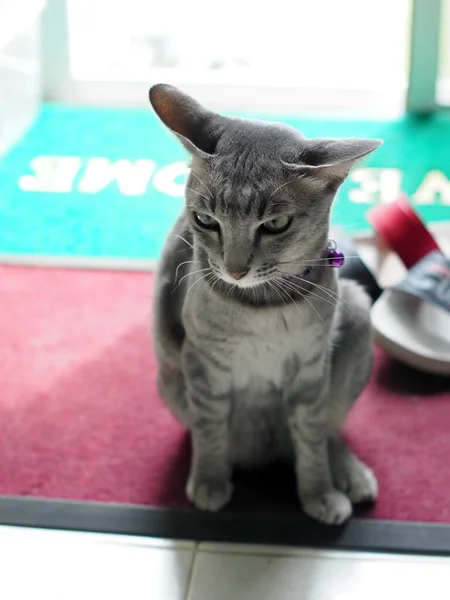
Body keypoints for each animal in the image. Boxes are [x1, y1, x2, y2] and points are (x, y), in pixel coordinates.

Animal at [149, 84, 382, 524]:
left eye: (275, 224)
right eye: (205, 220)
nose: (235, 269)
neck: (264, 308)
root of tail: (266, 453)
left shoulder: (310, 370)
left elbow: (312, 441)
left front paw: (318, 492)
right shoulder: (202, 362)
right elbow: (209, 430)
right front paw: (209, 480)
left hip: (358, 319)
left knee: (327, 433)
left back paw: (350, 474)